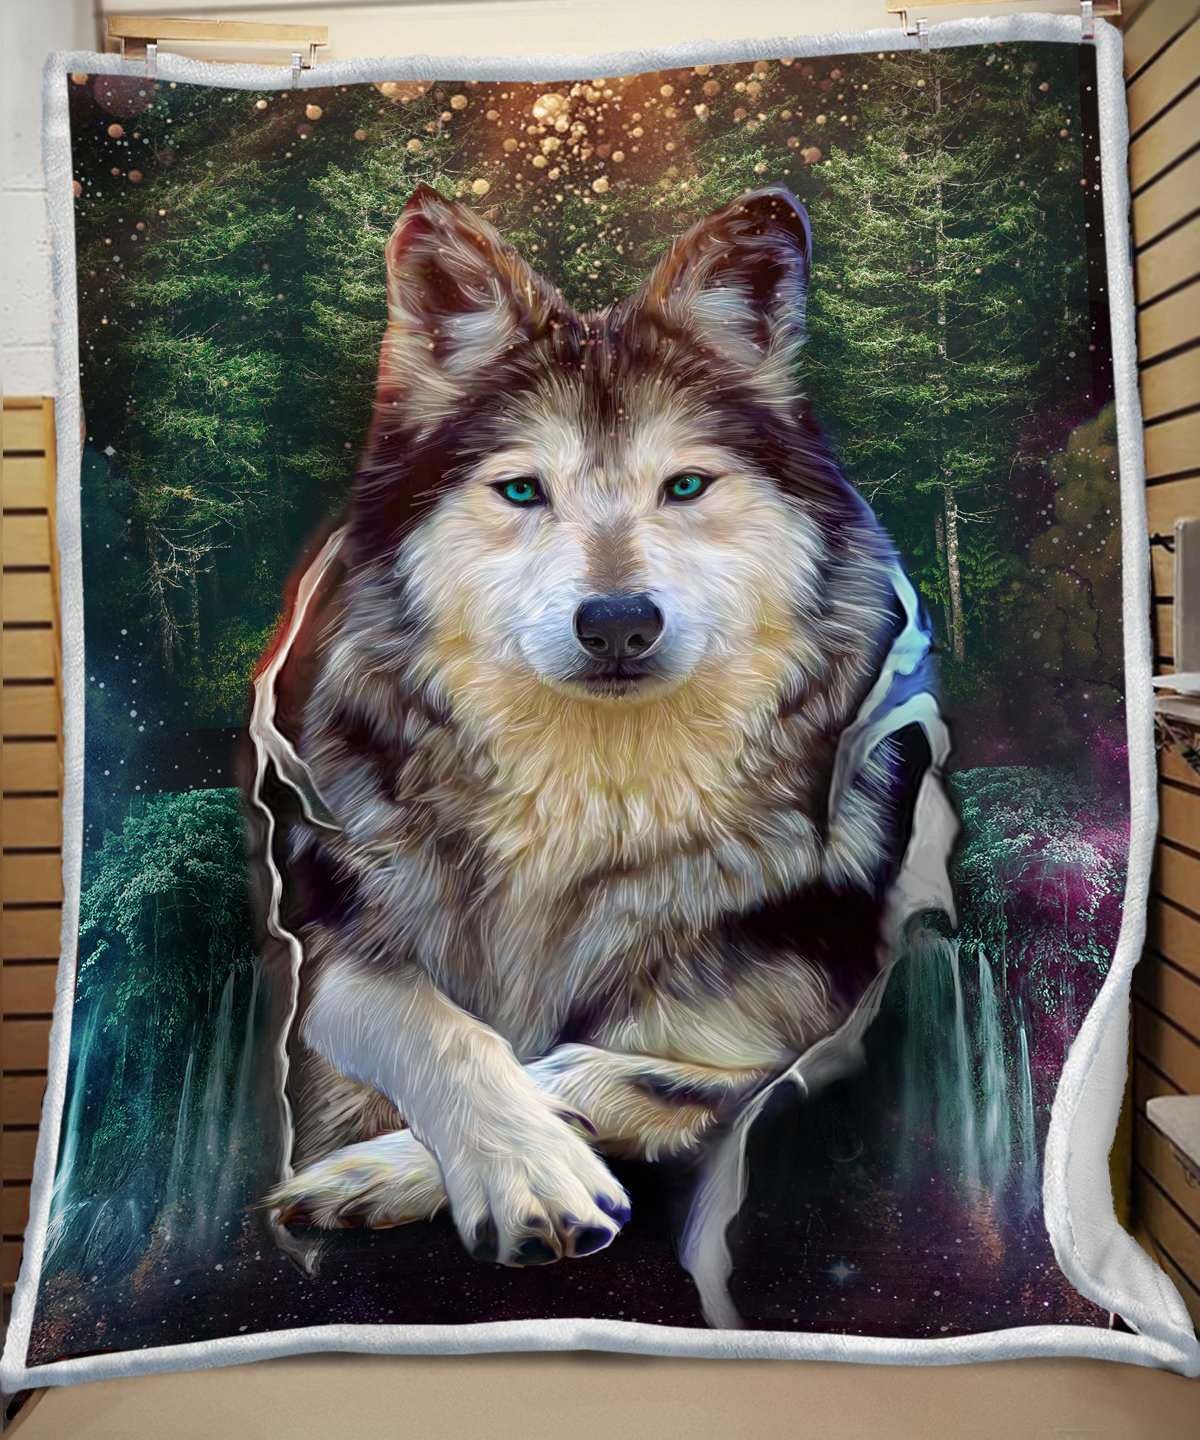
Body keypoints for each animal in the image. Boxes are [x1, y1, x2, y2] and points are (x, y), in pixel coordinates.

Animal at [249, 184, 941, 1272]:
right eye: (523, 489)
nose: (618, 622)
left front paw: (408, 1169)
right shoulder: (334, 947)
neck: (587, 818)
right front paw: (520, 1167)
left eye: (685, 486)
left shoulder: (818, 1033)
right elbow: (444, 1026)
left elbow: (609, 1065)